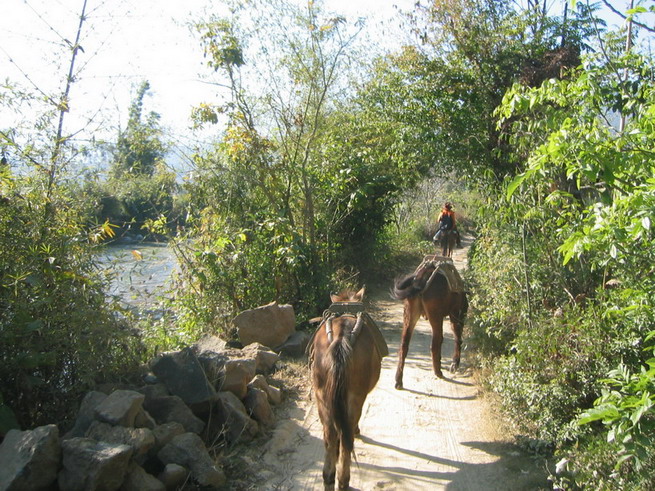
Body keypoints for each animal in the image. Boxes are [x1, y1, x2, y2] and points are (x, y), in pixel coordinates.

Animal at [312, 288, 386, 491]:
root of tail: (340, 339)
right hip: (355, 398)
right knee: (347, 439)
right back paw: (343, 480)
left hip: (322, 397)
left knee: (330, 435)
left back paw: (328, 477)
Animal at [392, 260, 468, 390]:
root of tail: (421, 279)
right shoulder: (455, 313)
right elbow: (457, 337)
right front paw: (454, 363)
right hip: (435, 315)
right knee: (436, 342)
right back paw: (438, 372)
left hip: (409, 314)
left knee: (404, 345)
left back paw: (398, 380)